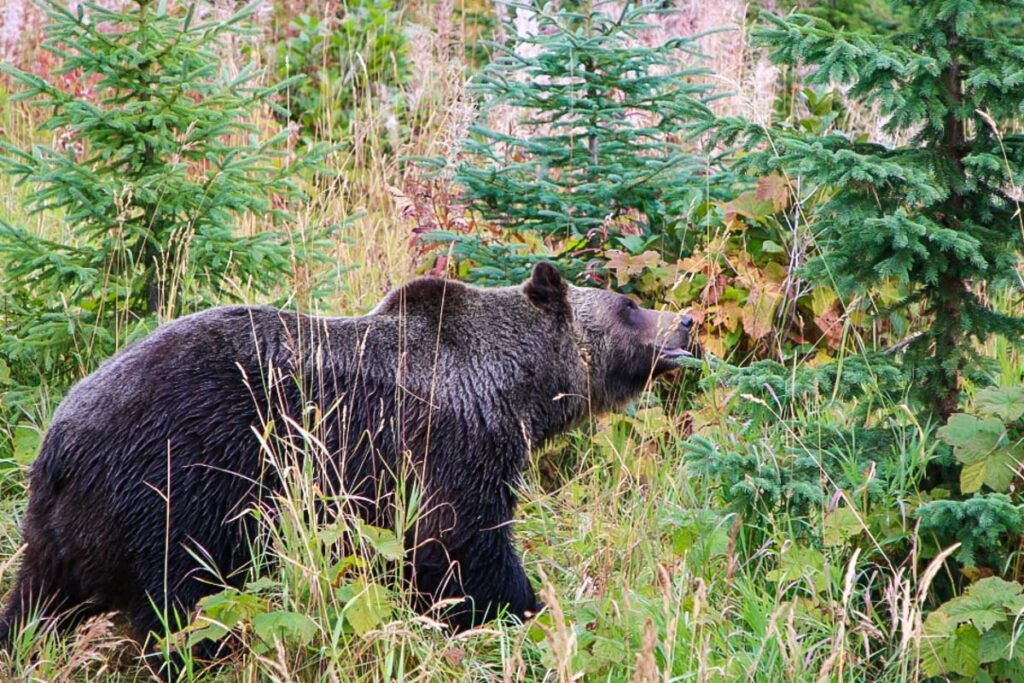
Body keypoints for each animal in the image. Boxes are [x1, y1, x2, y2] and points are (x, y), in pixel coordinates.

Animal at [0, 263, 693, 658]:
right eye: (630, 305)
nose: (686, 320)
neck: (510, 392)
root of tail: (59, 445)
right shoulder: (440, 451)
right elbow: (465, 551)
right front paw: (531, 612)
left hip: (59, 536)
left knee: (35, 605)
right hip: (175, 491)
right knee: (182, 607)